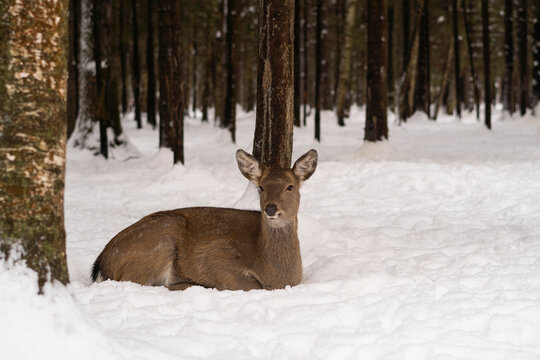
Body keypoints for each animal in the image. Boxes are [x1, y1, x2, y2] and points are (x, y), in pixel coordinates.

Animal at [88, 148, 316, 292]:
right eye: (261, 187)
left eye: (290, 186)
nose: (270, 208)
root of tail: (101, 264)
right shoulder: (214, 255)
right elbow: (248, 285)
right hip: (158, 242)